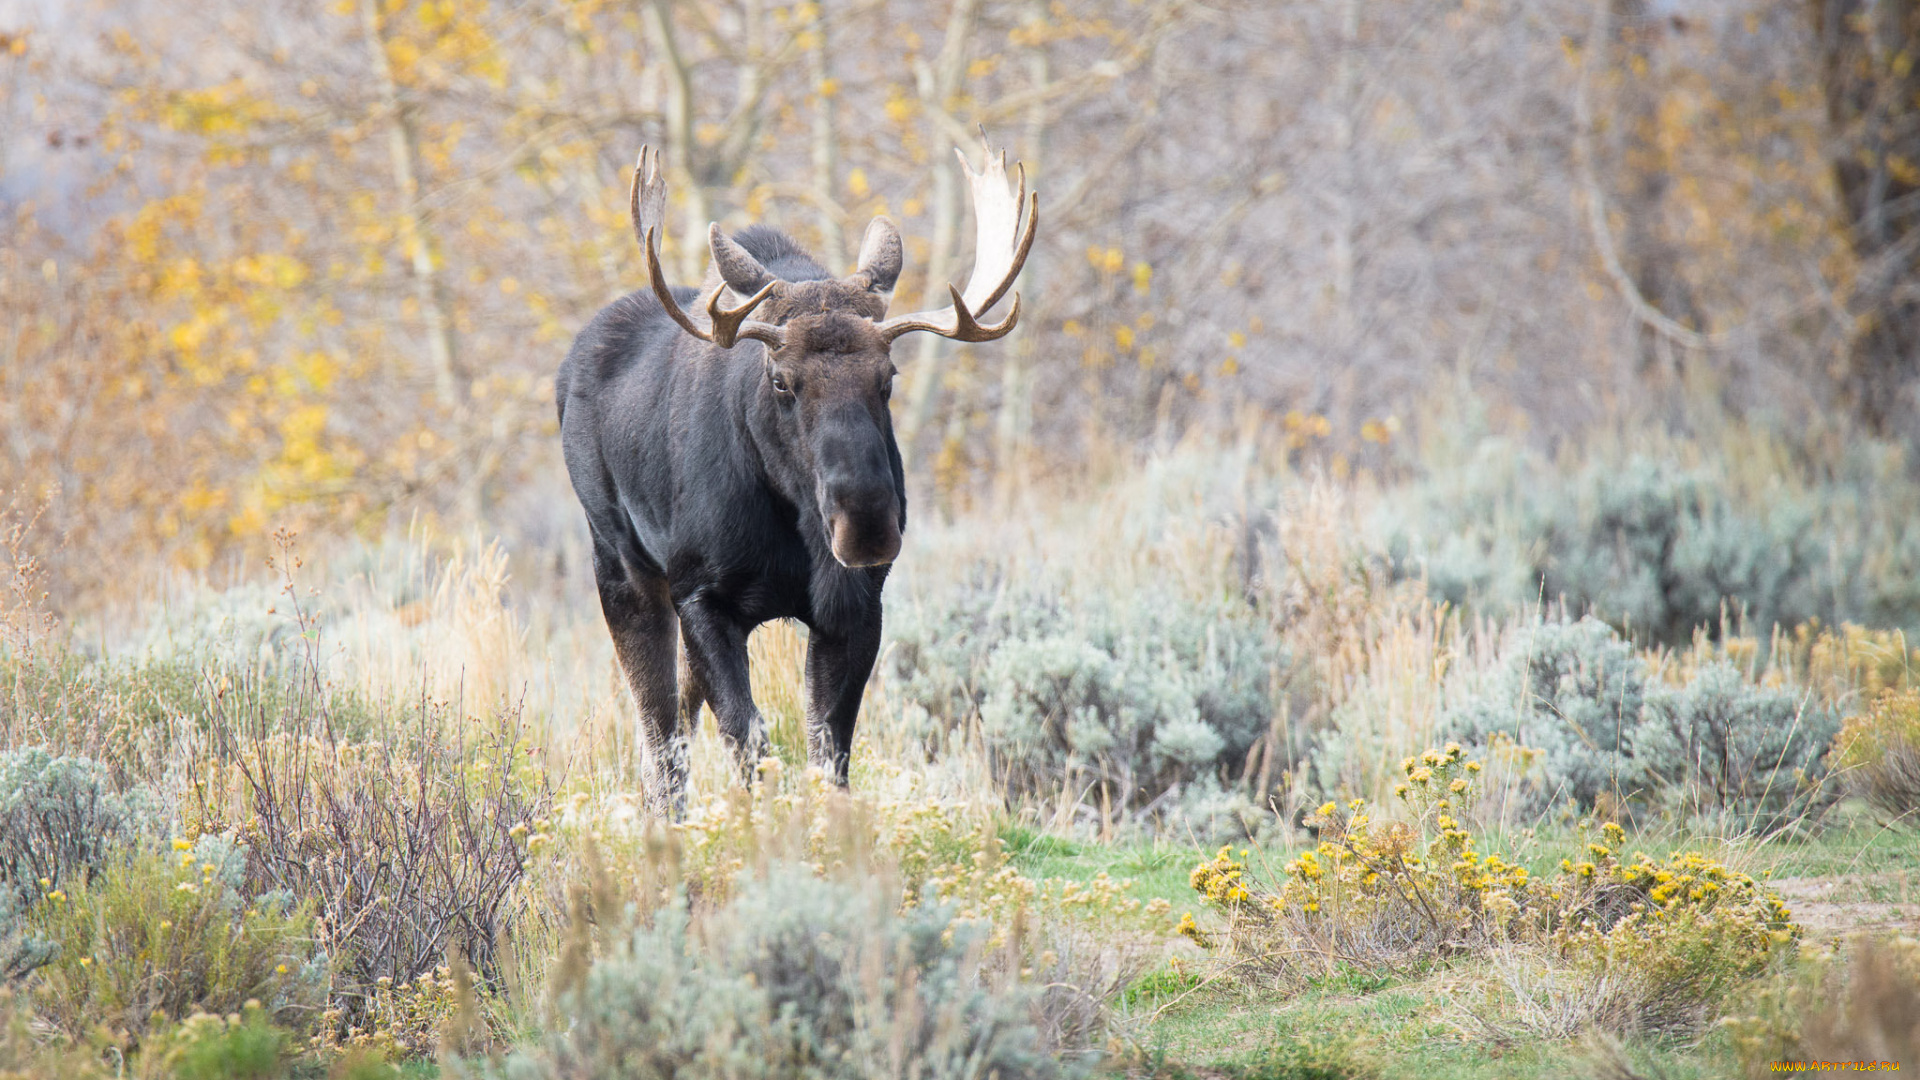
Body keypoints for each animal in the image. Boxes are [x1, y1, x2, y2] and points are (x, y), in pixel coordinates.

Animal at [556, 145, 1036, 814]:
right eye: (781, 380)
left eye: (888, 377)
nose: (866, 524)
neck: (792, 526)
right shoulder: (700, 594)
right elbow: (750, 740)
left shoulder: (856, 605)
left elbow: (828, 749)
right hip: (621, 566)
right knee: (658, 730)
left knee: (676, 719)